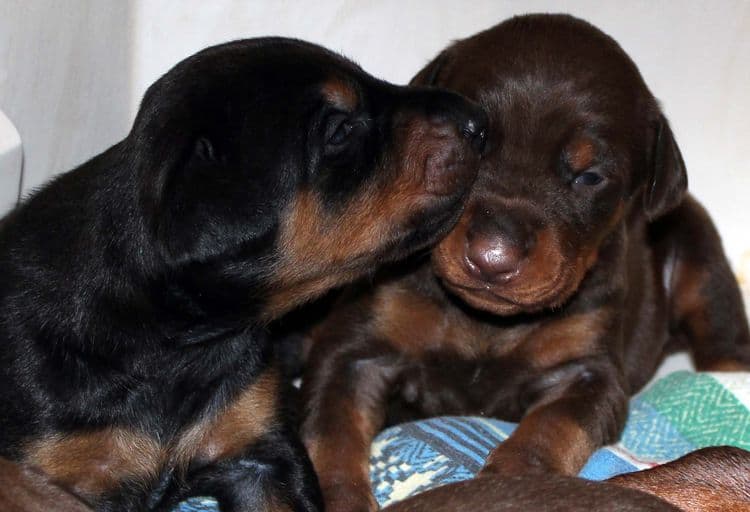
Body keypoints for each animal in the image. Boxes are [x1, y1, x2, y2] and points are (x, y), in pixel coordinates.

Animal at [302, 13, 750, 512]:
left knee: (724, 345)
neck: (488, 324)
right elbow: (333, 434)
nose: (491, 258)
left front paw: (516, 480)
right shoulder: (356, 351)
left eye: (591, 177)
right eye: (473, 141)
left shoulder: (586, 370)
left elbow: (552, 427)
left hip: (700, 259)